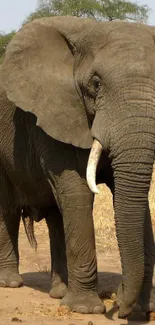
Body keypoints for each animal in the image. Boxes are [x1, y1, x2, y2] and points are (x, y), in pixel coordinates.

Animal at [0, 16, 155, 318]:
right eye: (95, 84)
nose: (119, 302)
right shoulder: (54, 113)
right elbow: (78, 192)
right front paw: (85, 309)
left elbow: (133, 199)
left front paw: (146, 307)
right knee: (7, 208)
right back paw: (10, 283)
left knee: (56, 216)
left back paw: (59, 292)